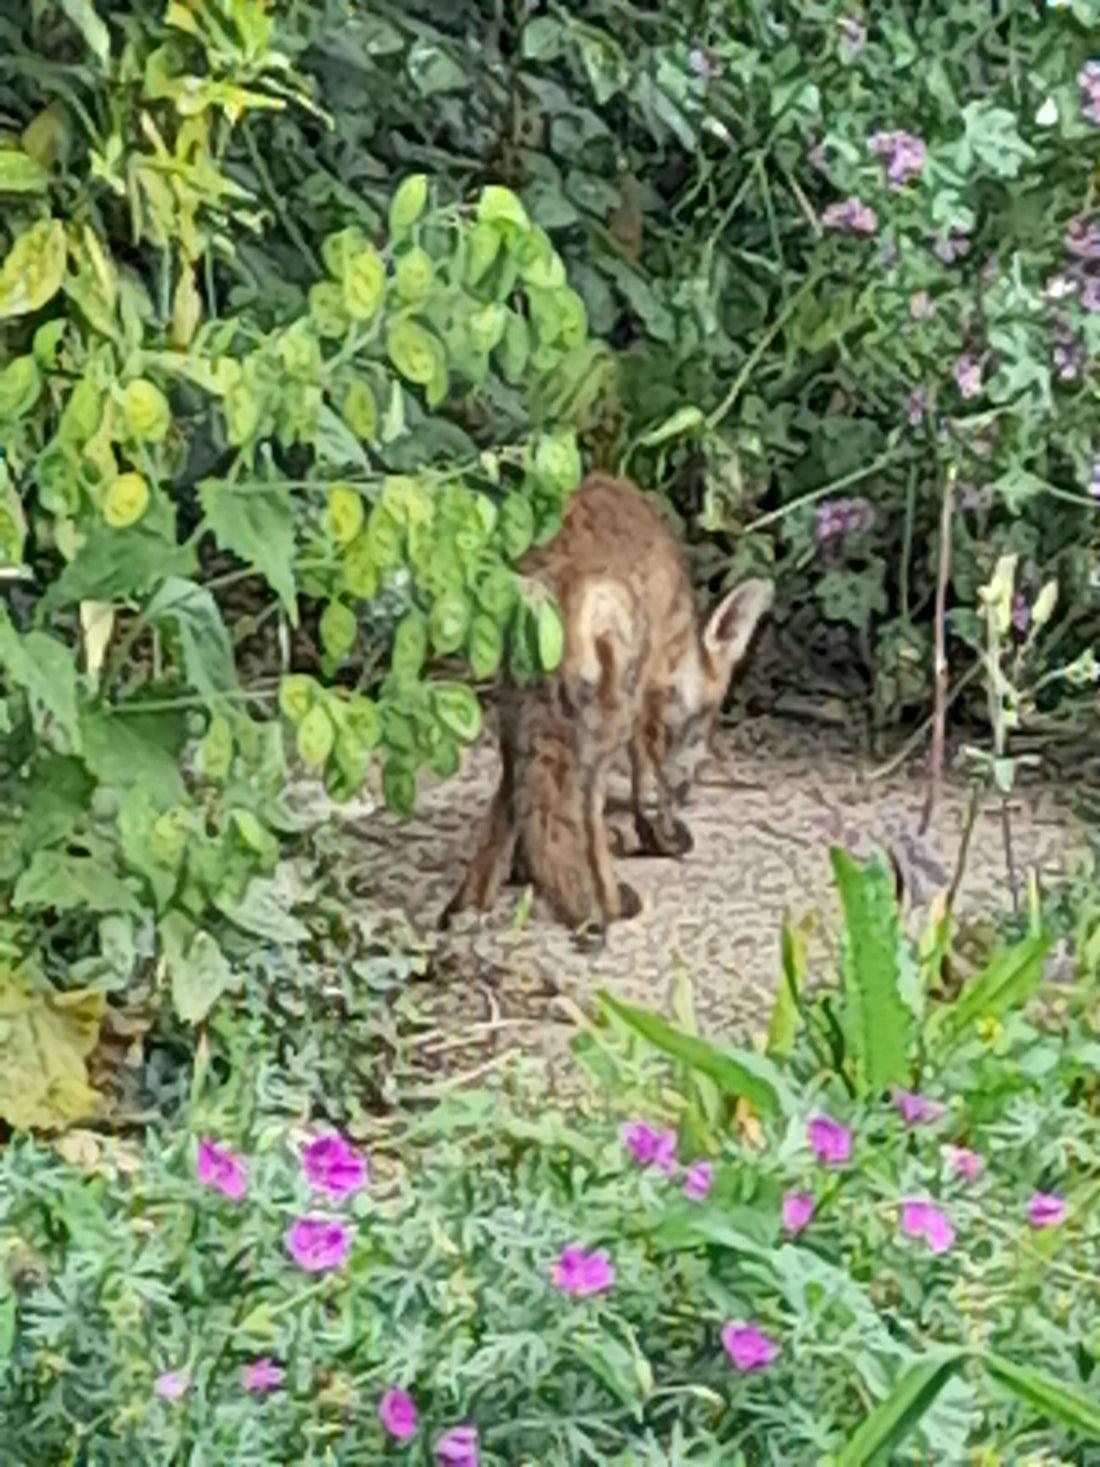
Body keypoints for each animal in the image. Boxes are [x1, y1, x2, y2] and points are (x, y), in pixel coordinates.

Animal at [440, 475, 774, 933]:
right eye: (704, 721)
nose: (690, 790)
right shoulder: (647, 702)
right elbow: (646, 783)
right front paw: (658, 834)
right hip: (603, 718)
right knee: (584, 808)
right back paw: (607, 904)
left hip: (517, 714)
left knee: (510, 799)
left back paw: (470, 904)